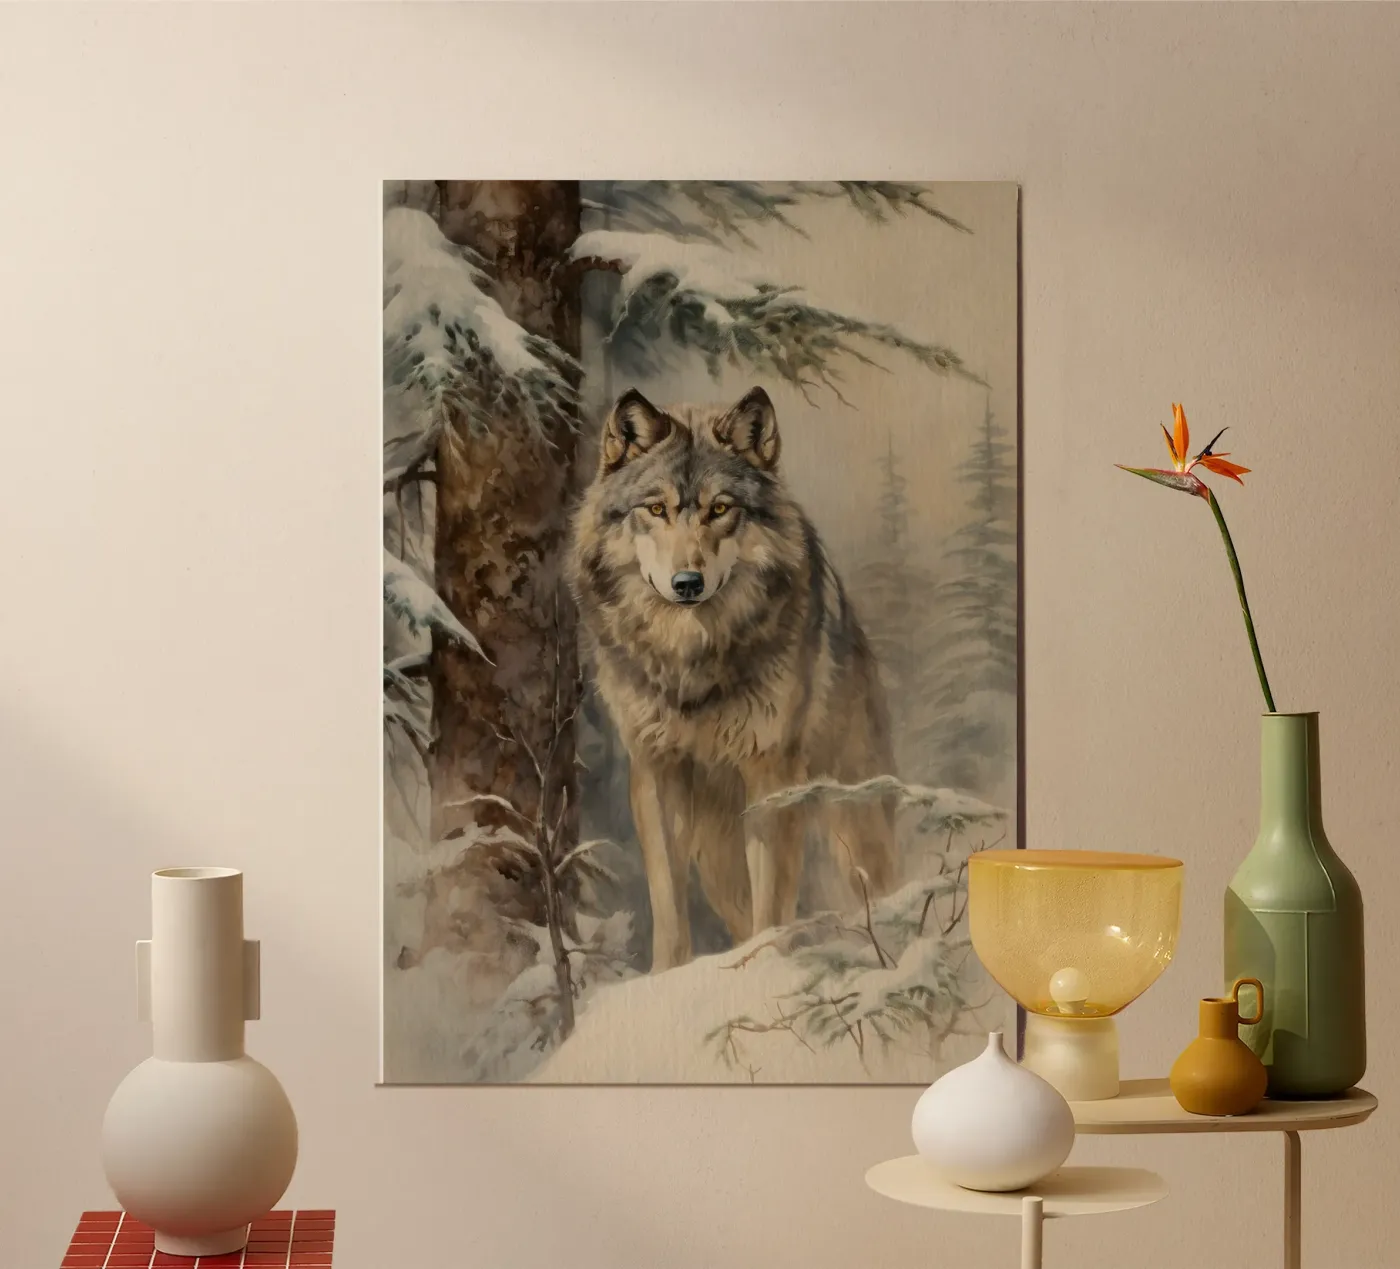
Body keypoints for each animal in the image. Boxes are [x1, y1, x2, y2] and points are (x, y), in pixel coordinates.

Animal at [568, 385, 898, 972]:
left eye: (720, 509)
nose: (687, 582)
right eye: (657, 509)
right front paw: (668, 978)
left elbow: (773, 902)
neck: (692, 661)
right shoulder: (656, 771)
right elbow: (668, 903)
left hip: (853, 817)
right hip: (717, 856)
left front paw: (767, 972)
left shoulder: (771, 772)